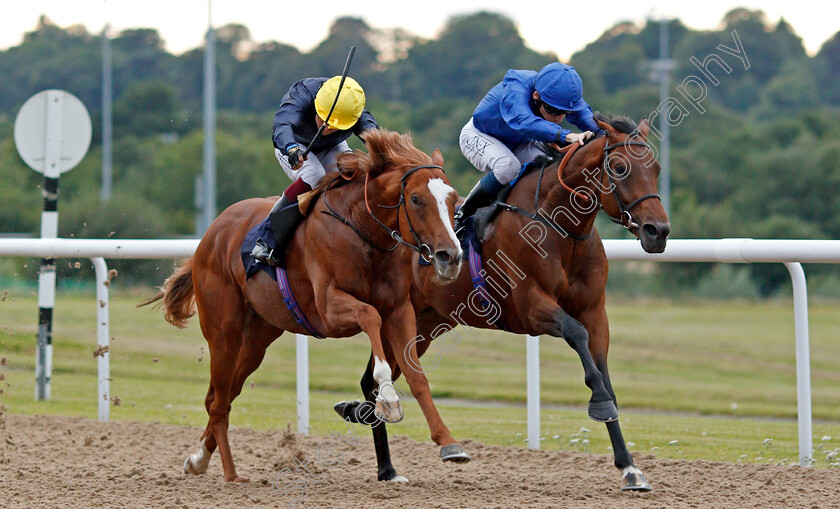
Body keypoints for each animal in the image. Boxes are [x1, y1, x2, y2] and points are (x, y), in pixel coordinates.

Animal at [140, 128, 462, 480]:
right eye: (416, 199)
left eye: (453, 199)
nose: (450, 256)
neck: (361, 229)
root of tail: (211, 233)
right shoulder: (329, 309)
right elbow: (369, 316)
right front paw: (388, 397)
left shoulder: (401, 310)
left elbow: (417, 376)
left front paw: (449, 443)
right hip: (223, 332)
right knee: (219, 401)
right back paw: (231, 474)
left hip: (257, 338)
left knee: (222, 394)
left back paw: (199, 459)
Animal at [334, 114, 668, 488]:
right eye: (620, 167)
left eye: (656, 168)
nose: (658, 231)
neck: (560, 228)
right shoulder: (531, 308)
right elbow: (577, 336)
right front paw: (600, 404)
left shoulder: (596, 312)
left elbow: (603, 371)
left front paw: (630, 467)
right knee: (375, 378)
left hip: (425, 322)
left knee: (374, 379)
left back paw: (383, 460)